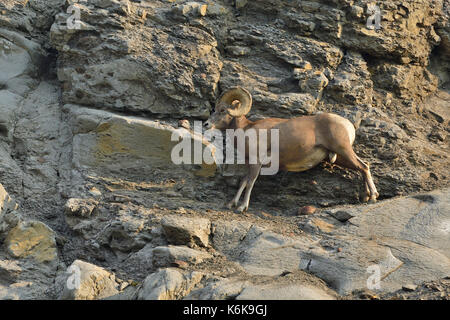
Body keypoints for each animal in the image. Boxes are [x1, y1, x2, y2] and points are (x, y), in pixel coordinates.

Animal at [205, 87, 380, 212]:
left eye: (222, 110)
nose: (206, 124)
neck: (247, 129)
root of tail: (347, 124)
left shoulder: (256, 163)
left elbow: (250, 182)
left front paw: (242, 207)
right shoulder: (250, 164)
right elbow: (243, 181)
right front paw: (231, 204)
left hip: (343, 150)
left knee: (363, 167)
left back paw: (373, 197)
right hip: (341, 157)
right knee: (362, 167)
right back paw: (366, 197)